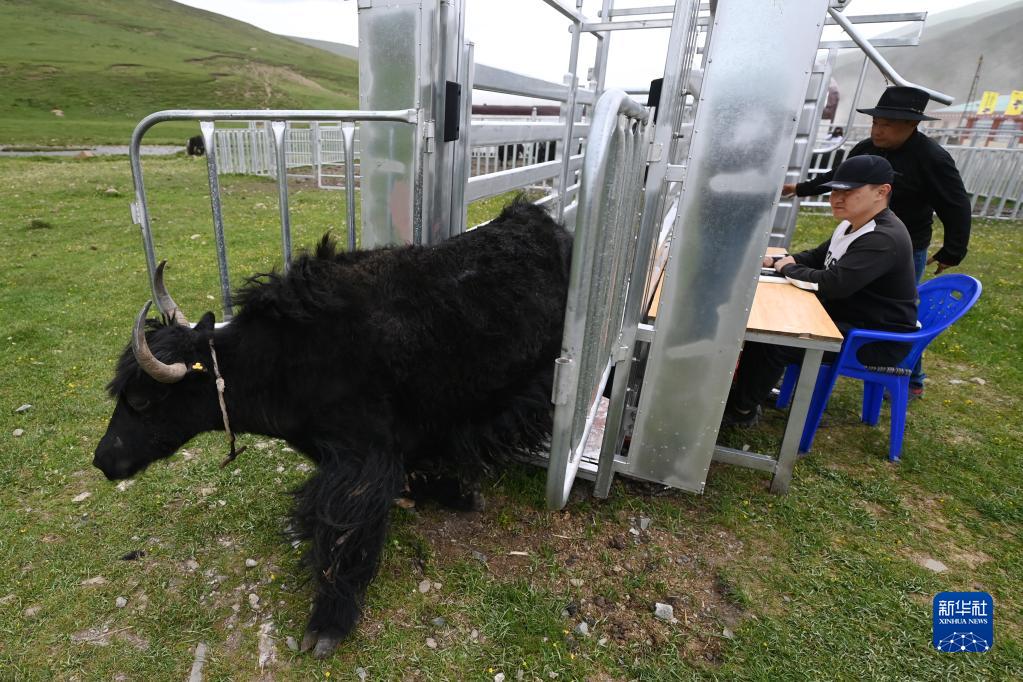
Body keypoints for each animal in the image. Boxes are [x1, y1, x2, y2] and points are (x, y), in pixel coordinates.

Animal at [92, 199, 572, 657]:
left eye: (141, 400)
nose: (102, 460)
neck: (284, 361)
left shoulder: (361, 461)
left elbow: (343, 535)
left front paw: (327, 625)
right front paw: (453, 493)